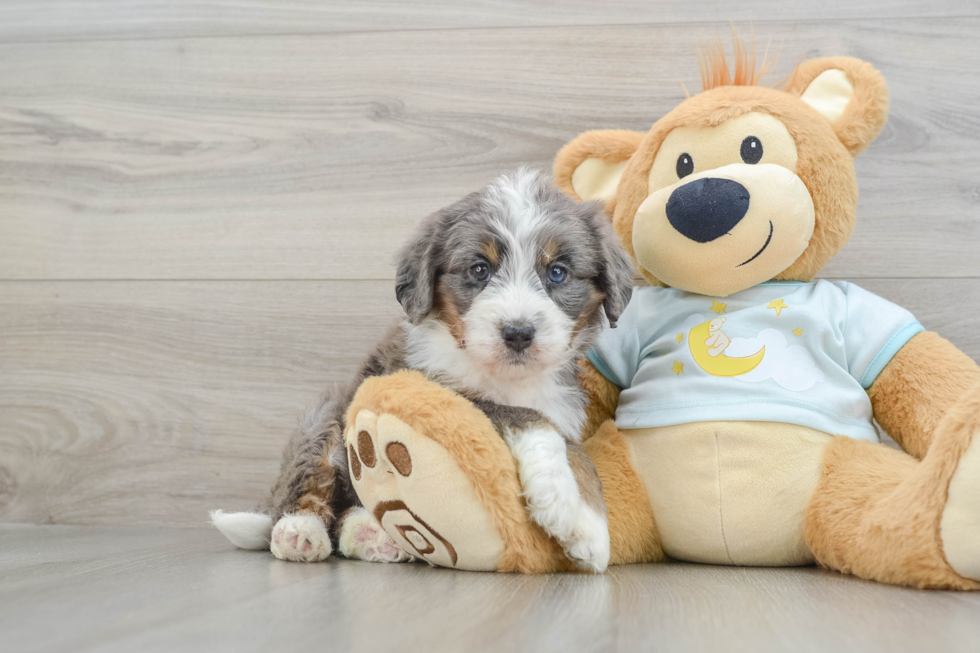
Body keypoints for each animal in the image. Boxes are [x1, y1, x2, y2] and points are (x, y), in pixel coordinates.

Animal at [211, 168, 632, 572]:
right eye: (480, 269)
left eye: (557, 272)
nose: (518, 333)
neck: (508, 378)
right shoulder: (437, 392)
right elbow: (529, 417)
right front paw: (569, 510)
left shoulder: (564, 409)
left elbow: (580, 456)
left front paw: (589, 524)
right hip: (327, 415)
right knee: (308, 483)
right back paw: (300, 532)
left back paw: (370, 534)